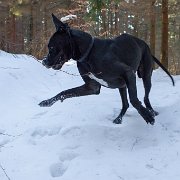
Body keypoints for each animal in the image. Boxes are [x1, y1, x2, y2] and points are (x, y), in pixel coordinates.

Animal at [39, 14, 174, 125]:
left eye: (51, 47)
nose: (43, 61)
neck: (88, 54)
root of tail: (145, 44)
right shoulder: (92, 87)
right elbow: (64, 92)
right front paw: (47, 101)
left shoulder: (129, 73)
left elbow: (134, 99)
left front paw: (146, 116)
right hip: (122, 85)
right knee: (125, 104)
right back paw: (119, 118)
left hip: (145, 76)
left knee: (145, 98)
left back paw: (151, 112)